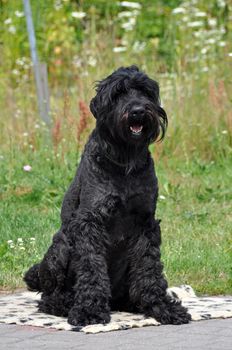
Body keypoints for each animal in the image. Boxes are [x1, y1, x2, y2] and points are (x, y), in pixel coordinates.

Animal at [24, 65, 190, 326]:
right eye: (118, 93)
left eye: (145, 92)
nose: (138, 110)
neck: (124, 163)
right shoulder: (90, 222)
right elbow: (92, 268)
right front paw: (89, 310)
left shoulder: (146, 223)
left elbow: (149, 269)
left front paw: (161, 306)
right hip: (59, 249)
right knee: (49, 295)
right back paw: (64, 303)